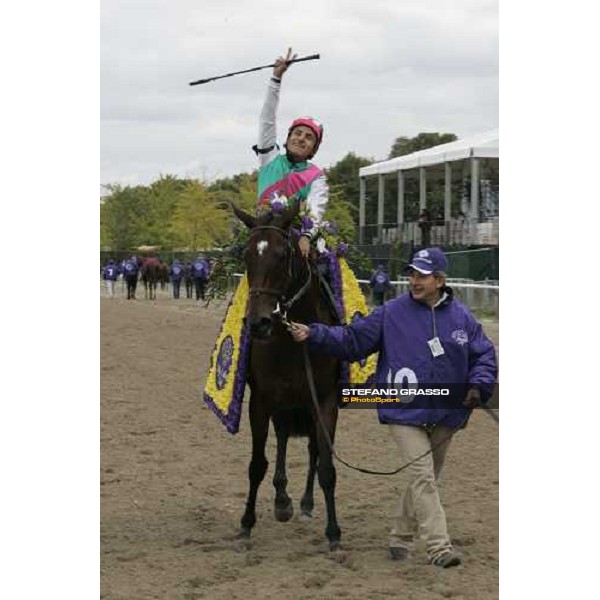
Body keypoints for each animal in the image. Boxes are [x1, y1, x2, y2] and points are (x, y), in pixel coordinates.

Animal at [232, 204, 342, 552]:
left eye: (282, 255)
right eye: (246, 256)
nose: (259, 323)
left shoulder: (325, 402)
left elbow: (326, 466)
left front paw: (334, 533)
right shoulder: (261, 401)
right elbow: (257, 464)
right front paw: (246, 524)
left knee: (313, 451)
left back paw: (305, 503)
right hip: (284, 406)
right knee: (281, 439)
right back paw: (283, 500)